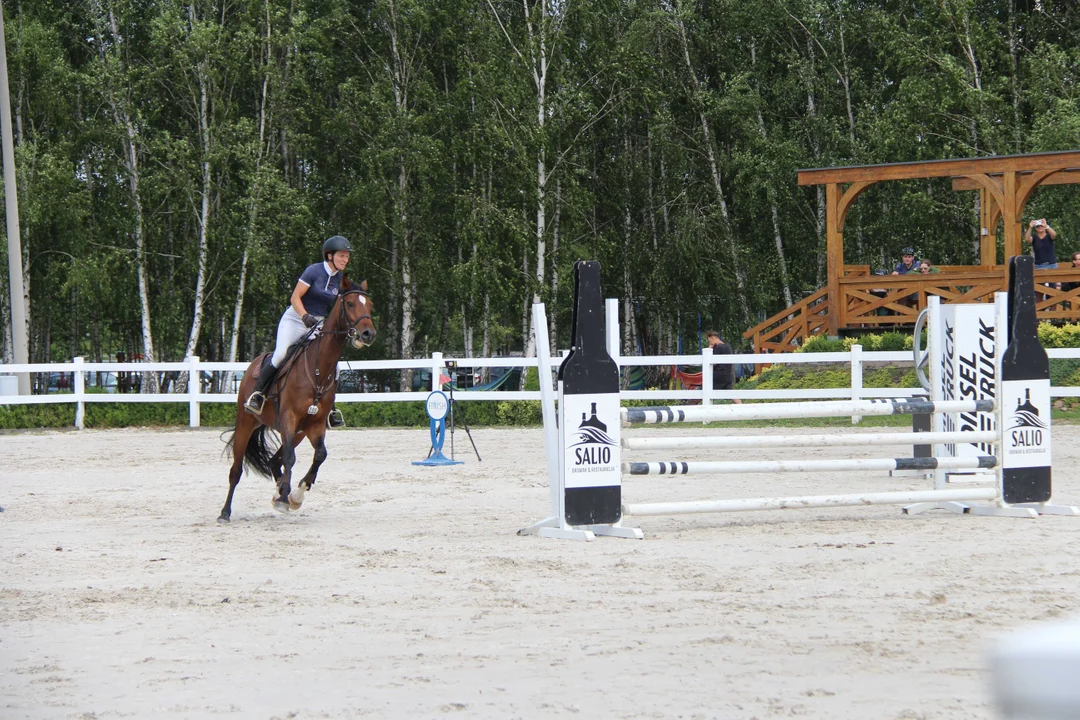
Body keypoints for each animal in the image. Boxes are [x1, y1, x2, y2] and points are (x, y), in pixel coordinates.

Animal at [217, 276, 378, 524]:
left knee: (274, 461)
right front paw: (285, 497)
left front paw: (296, 494)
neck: (318, 368)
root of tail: (252, 365)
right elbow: (291, 459)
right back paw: (225, 512)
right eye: (350, 303)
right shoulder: (289, 418)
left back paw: (279, 492)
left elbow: (320, 455)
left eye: (369, 305)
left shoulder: (315, 425)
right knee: (236, 470)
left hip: (298, 432)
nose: (368, 334)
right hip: (247, 423)